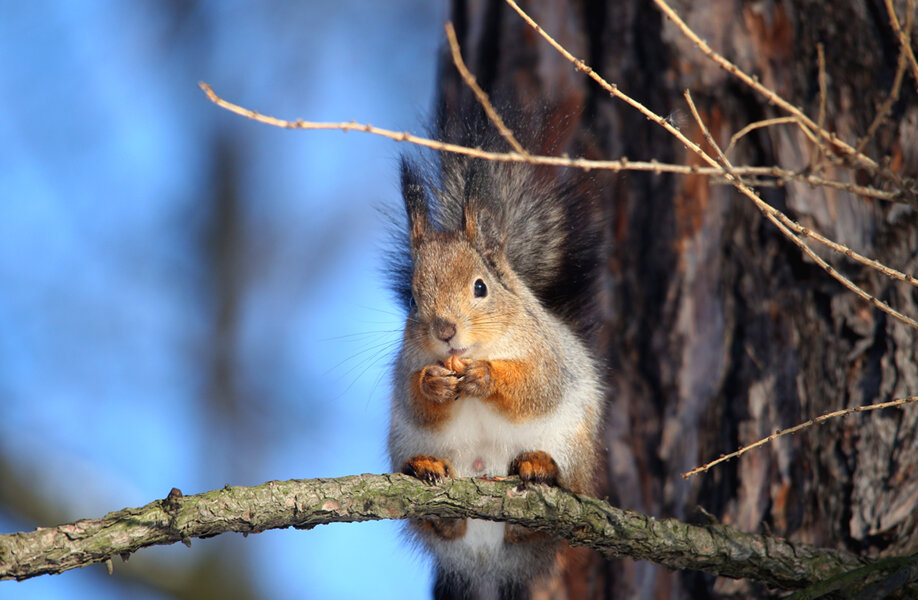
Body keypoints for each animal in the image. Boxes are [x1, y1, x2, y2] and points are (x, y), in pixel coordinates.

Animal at [386, 115, 604, 596]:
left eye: (480, 287)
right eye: (412, 299)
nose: (445, 331)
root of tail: (488, 559)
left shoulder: (547, 354)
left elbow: (537, 387)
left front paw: (486, 376)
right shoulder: (405, 369)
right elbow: (415, 399)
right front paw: (434, 383)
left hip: (573, 446)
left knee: (541, 519)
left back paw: (539, 470)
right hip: (406, 444)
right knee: (443, 527)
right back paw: (429, 475)